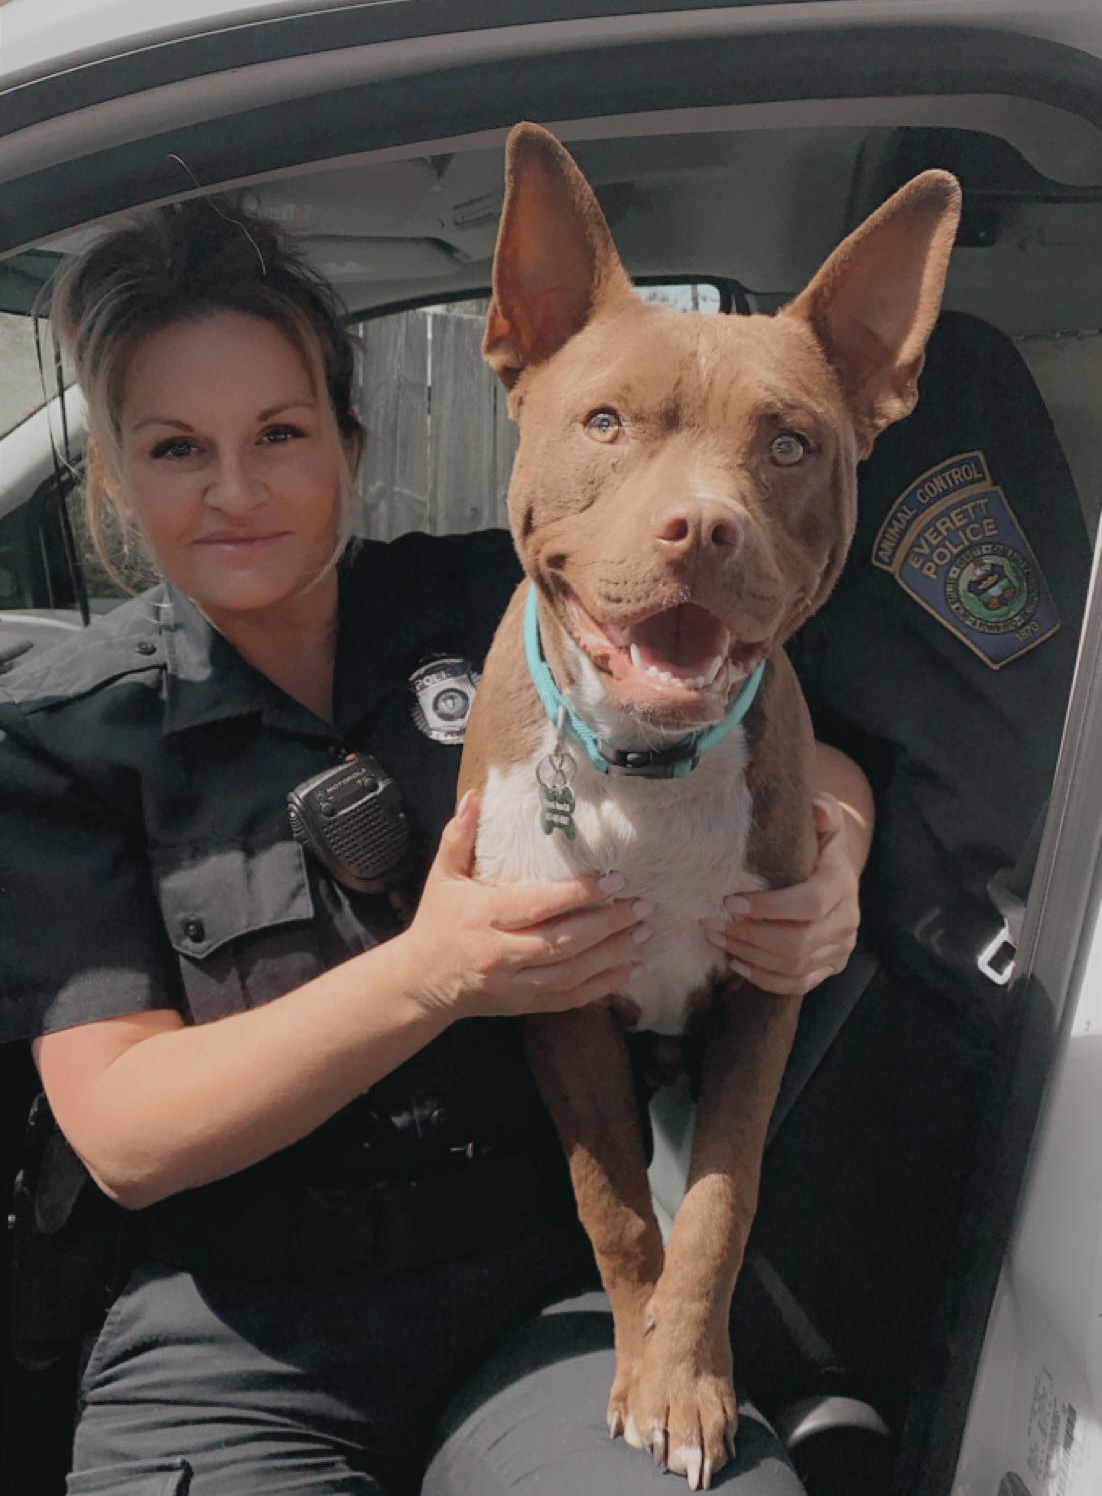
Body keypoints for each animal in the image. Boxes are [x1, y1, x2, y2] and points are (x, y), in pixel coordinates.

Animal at [454, 125, 956, 1484]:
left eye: (788, 444)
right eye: (605, 422)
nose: (701, 527)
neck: (643, 767)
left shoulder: (764, 990)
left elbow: (721, 1202)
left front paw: (683, 1379)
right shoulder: (558, 999)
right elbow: (619, 1207)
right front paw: (644, 1361)